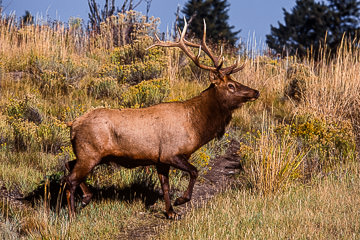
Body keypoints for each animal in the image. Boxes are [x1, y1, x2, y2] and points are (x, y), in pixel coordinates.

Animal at [63, 19, 258, 219]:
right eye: (231, 85)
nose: (255, 92)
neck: (196, 127)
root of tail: (73, 124)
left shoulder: (160, 160)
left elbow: (165, 186)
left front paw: (171, 212)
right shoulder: (170, 153)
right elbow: (194, 171)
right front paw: (181, 200)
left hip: (91, 154)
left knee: (68, 165)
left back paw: (86, 198)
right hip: (90, 153)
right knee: (70, 179)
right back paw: (73, 213)